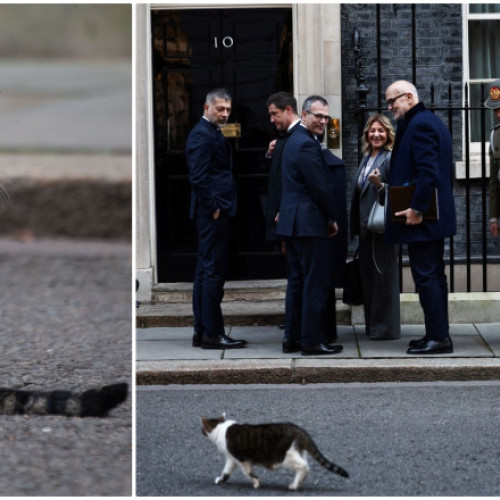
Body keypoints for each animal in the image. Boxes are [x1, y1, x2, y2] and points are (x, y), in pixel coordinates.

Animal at [201, 412, 350, 490]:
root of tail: (299, 430)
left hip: (284, 457)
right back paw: (299, 482)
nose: (200, 430)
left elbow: (248, 473)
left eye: (203, 428)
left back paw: (295, 485)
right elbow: (226, 471)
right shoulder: (232, 459)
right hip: (297, 452)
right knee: (305, 466)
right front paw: (221, 479)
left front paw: (256, 482)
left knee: (304, 466)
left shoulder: (242, 459)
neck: (221, 428)